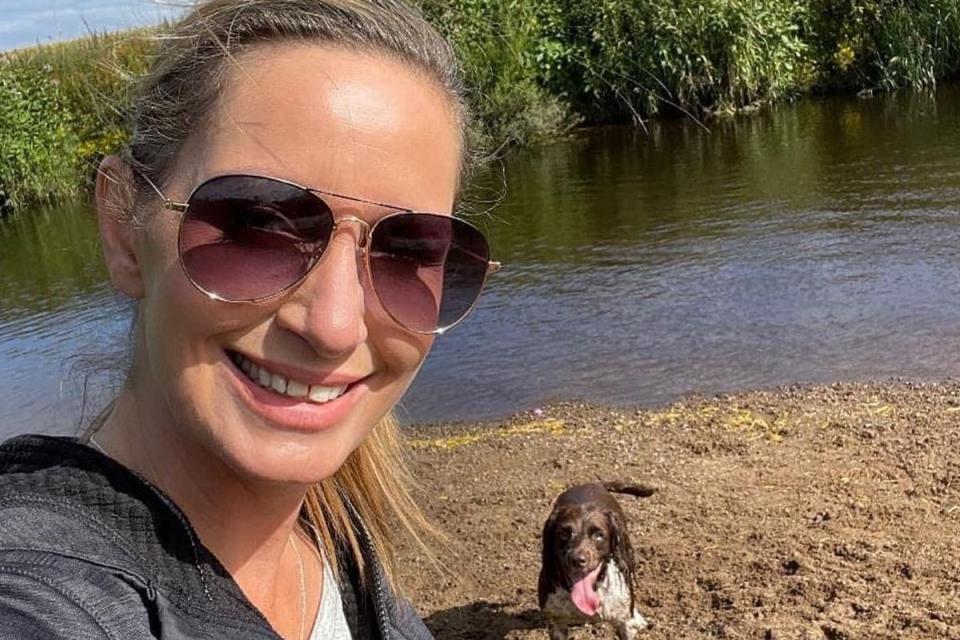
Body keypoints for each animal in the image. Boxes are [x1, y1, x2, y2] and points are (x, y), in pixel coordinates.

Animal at [536, 482, 656, 636]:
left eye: (599, 535)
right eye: (563, 534)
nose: (577, 560)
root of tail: (592, 483)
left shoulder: (624, 623)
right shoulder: (556, 623)